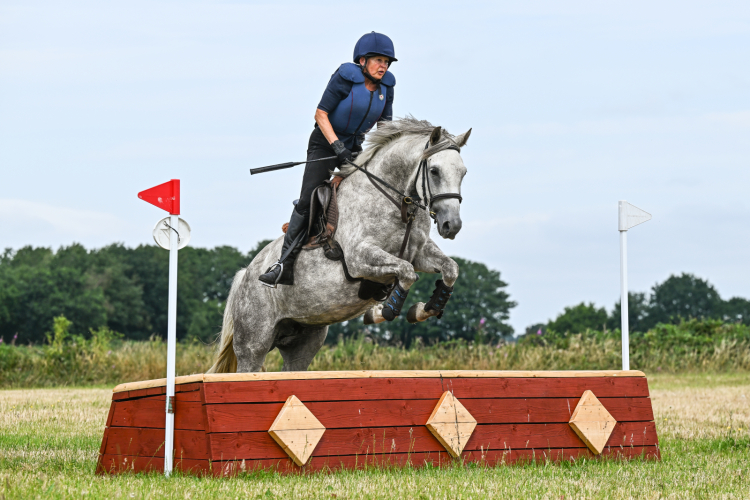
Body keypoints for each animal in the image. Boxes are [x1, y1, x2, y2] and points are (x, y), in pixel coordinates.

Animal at [207, 117, 471, 373]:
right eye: (434, 171)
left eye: (463, 172)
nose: (452, 225)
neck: (399, 203)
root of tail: (245, 274)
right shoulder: (359, 259)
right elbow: (407, 272)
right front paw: (383, 311)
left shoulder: (419, 253)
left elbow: (450, 268)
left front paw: (425, 309)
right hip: (254, 343)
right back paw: (274, 273)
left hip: (304, 339)